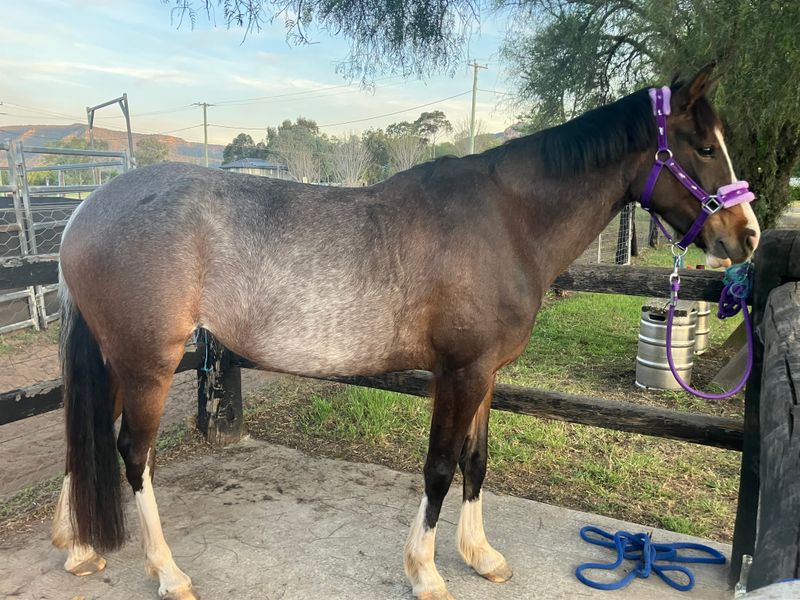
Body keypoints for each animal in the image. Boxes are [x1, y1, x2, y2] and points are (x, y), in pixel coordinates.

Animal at [52, 63, 759, 600]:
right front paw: (426, 572)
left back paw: (78, 546)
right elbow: (440, 467)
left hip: (118, 360)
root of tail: (85, 213)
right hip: (149, 363)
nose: (747, 235)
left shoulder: (484, 373)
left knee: (87, 437)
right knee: (132, 453)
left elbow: (476, 458)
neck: (506, 221)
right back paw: (168, 573)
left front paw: (481, 556)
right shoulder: (460, 371)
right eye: (703, 148)